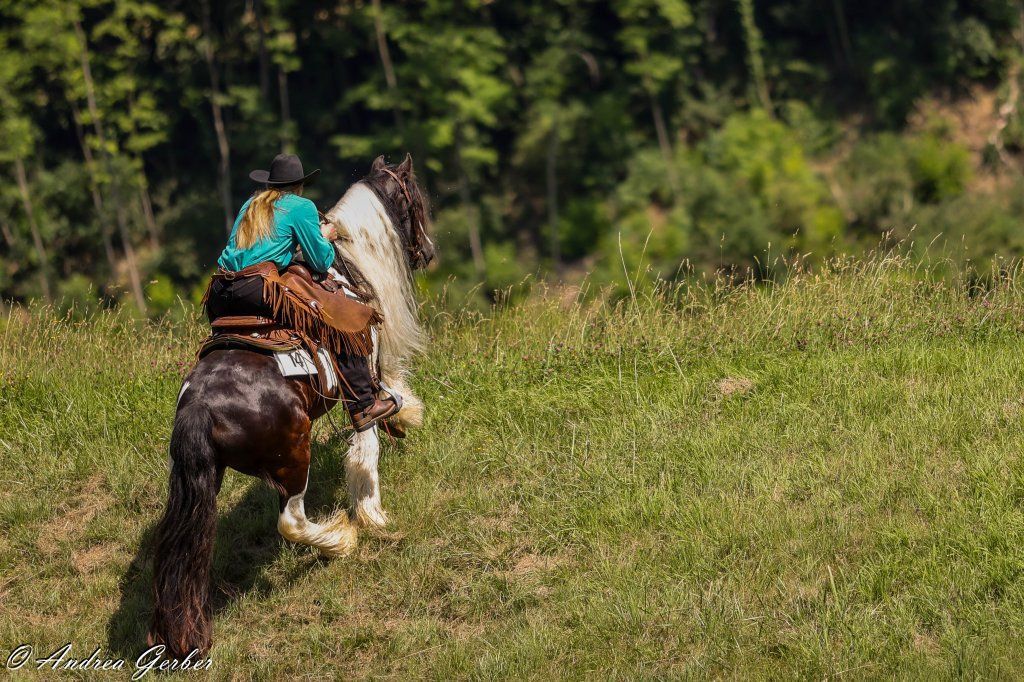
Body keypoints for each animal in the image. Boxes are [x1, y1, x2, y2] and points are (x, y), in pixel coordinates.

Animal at [148, 154, 434, 658]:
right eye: (414, 199)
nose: (430, 250)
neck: (352, 269)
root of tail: (199, 408)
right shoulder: (363, 373)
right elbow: (367, 447)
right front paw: (373, 513)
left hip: (205, 477)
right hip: (292, 457)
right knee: (291, 520)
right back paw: (338, 538)